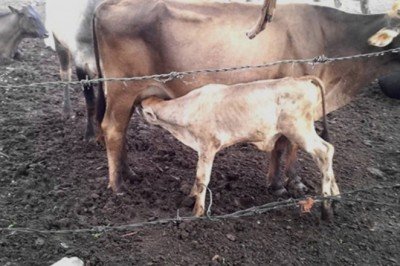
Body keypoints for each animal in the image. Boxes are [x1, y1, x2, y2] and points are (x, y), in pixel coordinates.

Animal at [44, 0, 104, 141]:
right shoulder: (81, 63)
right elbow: (90, 102)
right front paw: (90, 135)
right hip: (59, 42)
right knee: (65, 75)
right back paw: (67, 111)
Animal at [94, 0, 400, 197]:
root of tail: (106, 5)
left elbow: (280, 146)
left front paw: (276, 183)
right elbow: (289, 147)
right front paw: (293, 184)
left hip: (132, 94)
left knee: (121, 130)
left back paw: (129, 174)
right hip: (122, 89)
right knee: (112, 129)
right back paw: (117, 186)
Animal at [139, 76, 340, 218]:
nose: (139, 105)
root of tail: (300, 79)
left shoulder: (208, 146)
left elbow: (202, 178)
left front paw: (197, 212)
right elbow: (197, 179)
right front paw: (190, 197)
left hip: (299, 130)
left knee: (324, 151)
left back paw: (326, 208)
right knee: (328, 151)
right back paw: (336, 199)